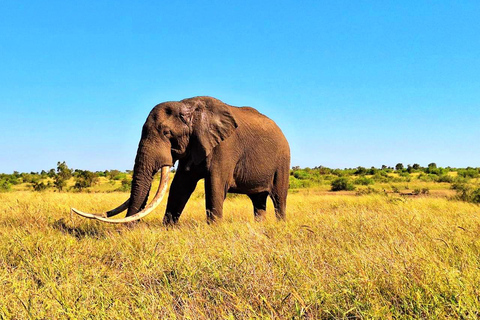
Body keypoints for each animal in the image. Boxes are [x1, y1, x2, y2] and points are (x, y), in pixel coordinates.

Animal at [71, 96, 290, 224]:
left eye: (167, 133)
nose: (127, 232)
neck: (189, 106)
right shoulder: (193, 145)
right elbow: (180, 186)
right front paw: (168, 228)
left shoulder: (225, 146)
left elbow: (215, 185)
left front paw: (214, 229)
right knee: (258, 200)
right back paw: (260, 227)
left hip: (283, 159)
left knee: (279, 197)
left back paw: (279, 225)